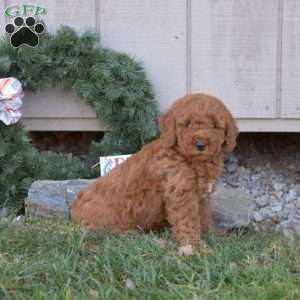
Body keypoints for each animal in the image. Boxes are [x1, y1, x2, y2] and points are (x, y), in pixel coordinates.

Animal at [71, 93, 239, 253]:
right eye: (186, 124)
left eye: (215, 126)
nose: (200, 144)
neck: (194, 161)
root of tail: (73, 211)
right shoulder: (180, 193)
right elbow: (188, 221)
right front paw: (194, 246)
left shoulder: (202, 196)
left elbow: (204, 216)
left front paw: (212, 234)